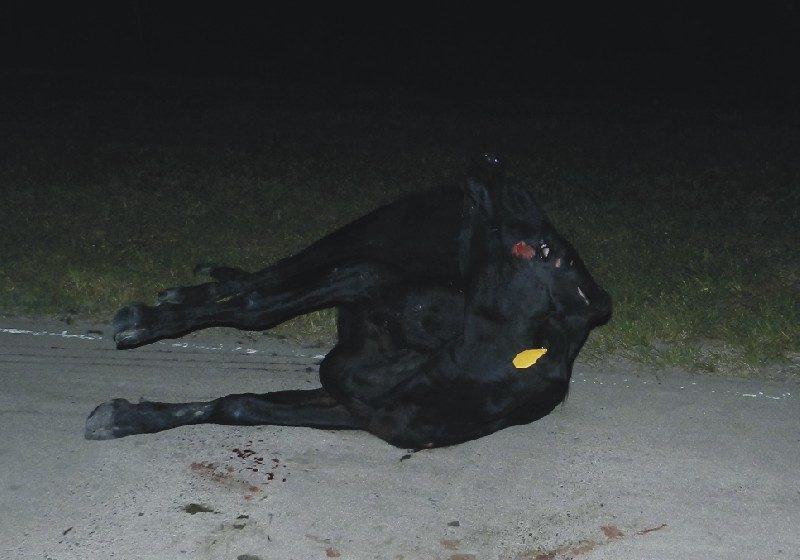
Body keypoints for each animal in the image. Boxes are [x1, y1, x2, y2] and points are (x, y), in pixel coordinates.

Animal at [85, 155, 612, 448]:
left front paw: (130, 417)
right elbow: (255, 309)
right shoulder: (367, 276)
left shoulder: (359, 411)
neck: (458, 357)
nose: (494, 161)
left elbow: (237, 406)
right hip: (362, 233)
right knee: (270, 275)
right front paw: (149, 330)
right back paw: (180, 297)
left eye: (539, 248)